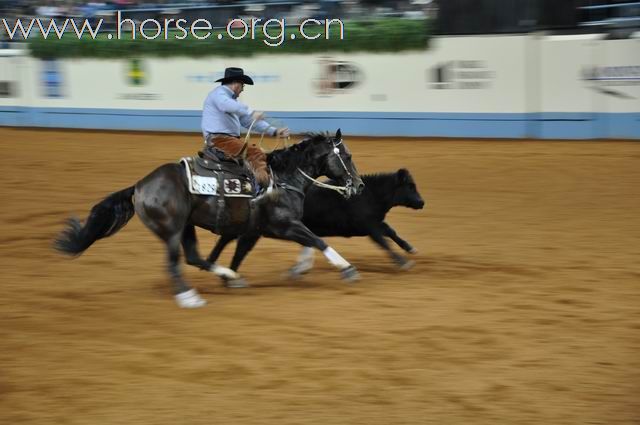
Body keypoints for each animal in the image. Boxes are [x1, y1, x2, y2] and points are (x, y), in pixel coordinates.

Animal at [55, 129, 362, 308]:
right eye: (347, 156)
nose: (359, 186)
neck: (283, 178)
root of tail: (140, 186)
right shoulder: (282, 225)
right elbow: (317, 240)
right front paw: (346, 268)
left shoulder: (253, 230)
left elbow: (241, 251)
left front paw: (294, 269)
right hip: (171, 229)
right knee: (174, 263)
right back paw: (188, 297)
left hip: (186, 226)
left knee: (194, 257)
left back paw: (225, 275)